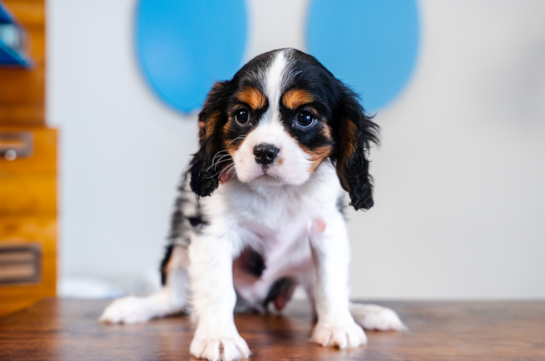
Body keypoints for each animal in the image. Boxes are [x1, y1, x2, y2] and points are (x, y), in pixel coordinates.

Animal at [101, 48, 404, 360]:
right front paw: (219, 337)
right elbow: (217, 289)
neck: (276, 192)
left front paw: (338, 326)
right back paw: (134, 307)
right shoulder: (213, 232)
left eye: (305, 117)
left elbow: (330, 283)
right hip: (179, 249)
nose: (264, 151)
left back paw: (365, 313)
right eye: (242, 115)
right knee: (174, 297)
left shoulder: (327, 228)